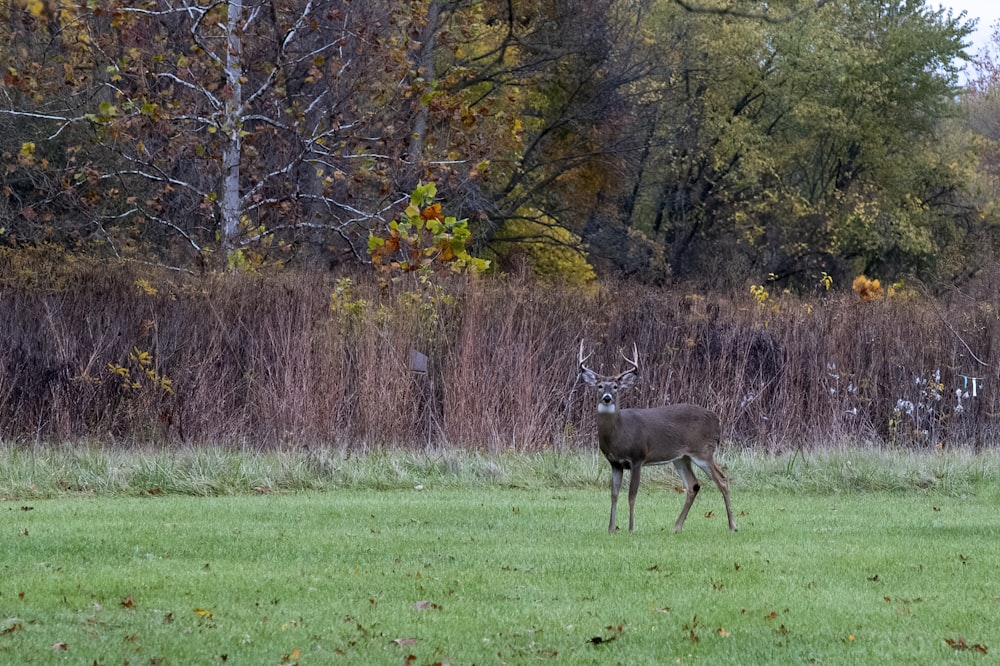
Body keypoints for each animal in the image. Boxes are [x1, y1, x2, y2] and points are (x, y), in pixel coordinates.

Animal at [580, 340, 736, 532]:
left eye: (615, 387)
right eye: (600, 386)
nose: (607, 398)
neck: (619, 434)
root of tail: (717, 420)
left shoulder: (637, 457)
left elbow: (632, 495)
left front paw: (631, 528)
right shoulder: (615, 463)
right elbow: (614, 495)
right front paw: (611, 529)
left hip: (703, 451)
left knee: (722, 480)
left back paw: (732, 526)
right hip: (681, 457)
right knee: (693, 485)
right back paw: (676, 527)